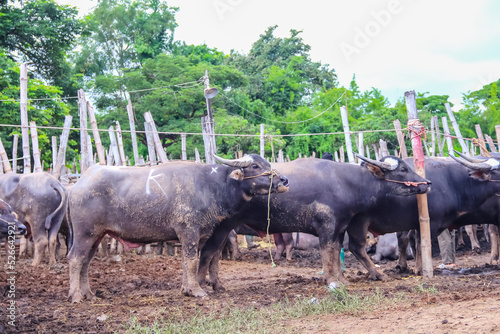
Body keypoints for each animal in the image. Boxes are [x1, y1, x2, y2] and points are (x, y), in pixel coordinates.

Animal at [67, 154, 288, 302]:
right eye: (255, 165)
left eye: (268, 164)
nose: (283, 180)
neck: (211, 186)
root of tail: (78, 185)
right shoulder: (189, 231)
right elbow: (191, 261)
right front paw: (197, 290)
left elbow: (187, 262)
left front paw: (186, 289)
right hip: (84, 234)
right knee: (76, 259)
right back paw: (75, 295)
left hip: (96, 236)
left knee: (86, 261)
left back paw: (88, 293)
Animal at [197, 154, 432, 290]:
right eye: (403, 170)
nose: (426, 183)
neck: (347, 182)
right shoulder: (327, 226)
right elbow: (327, 253)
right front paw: (331, 280)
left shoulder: (340, 227)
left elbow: (336, 252)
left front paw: (341, 278)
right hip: (220, 227)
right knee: (210, 252)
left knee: (215, 254)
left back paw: (216, 284)